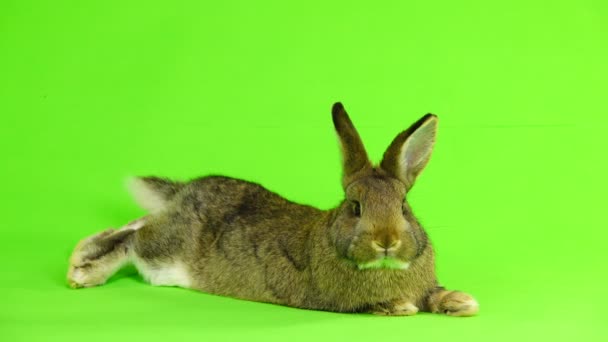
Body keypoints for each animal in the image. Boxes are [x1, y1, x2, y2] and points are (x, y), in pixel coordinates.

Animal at [67, 103, 480, 316]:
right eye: (355, 207)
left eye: (404, 206)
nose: (387, 241)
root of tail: (185, 192)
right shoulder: (339, 301)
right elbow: (385, 305)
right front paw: (401, 306)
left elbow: (432, 295)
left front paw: (461, 302)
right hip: (166, 250)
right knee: (133, 240)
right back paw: (83, 272)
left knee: (134, 225)